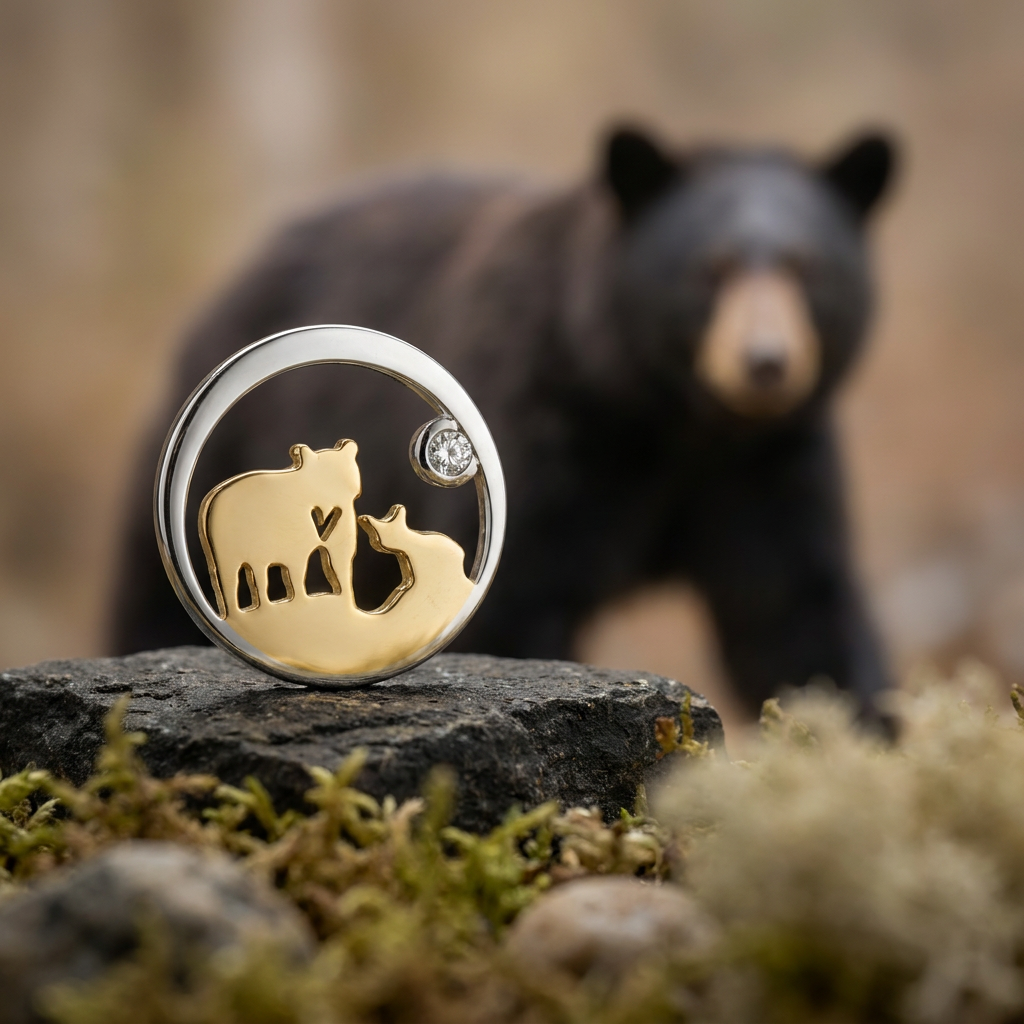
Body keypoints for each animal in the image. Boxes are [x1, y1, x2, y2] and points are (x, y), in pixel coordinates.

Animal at [109, 124, 897, 717]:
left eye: (809, 268)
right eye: (711, 268)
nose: (766, 363)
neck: (671, 419)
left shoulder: (766, 467)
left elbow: (795, 608)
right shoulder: (551, 425)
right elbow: (524, 597)